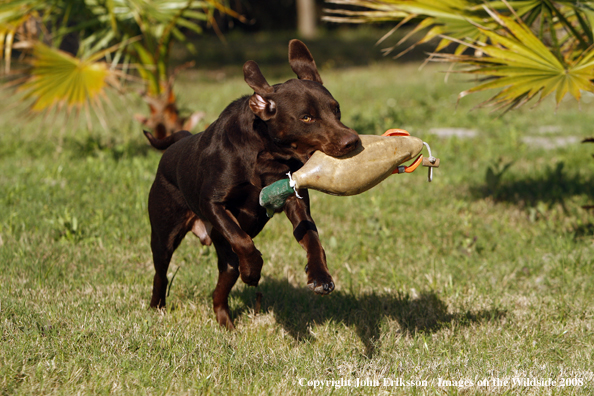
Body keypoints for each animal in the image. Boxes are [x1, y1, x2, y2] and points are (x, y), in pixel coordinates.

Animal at [145, 39, 356, 328]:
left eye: (336, 109)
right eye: (306, 118)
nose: (353, 141)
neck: (265, 154)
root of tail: (179, 140)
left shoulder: (294, 200)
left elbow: (312, 238)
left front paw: (320, 277)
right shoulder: (213, 203)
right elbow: (242, 239)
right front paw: (254, 270)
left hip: (225, 258)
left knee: (219, 291)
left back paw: (227, 325)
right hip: (164, 234)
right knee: (161, 273)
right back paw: (157, 308)